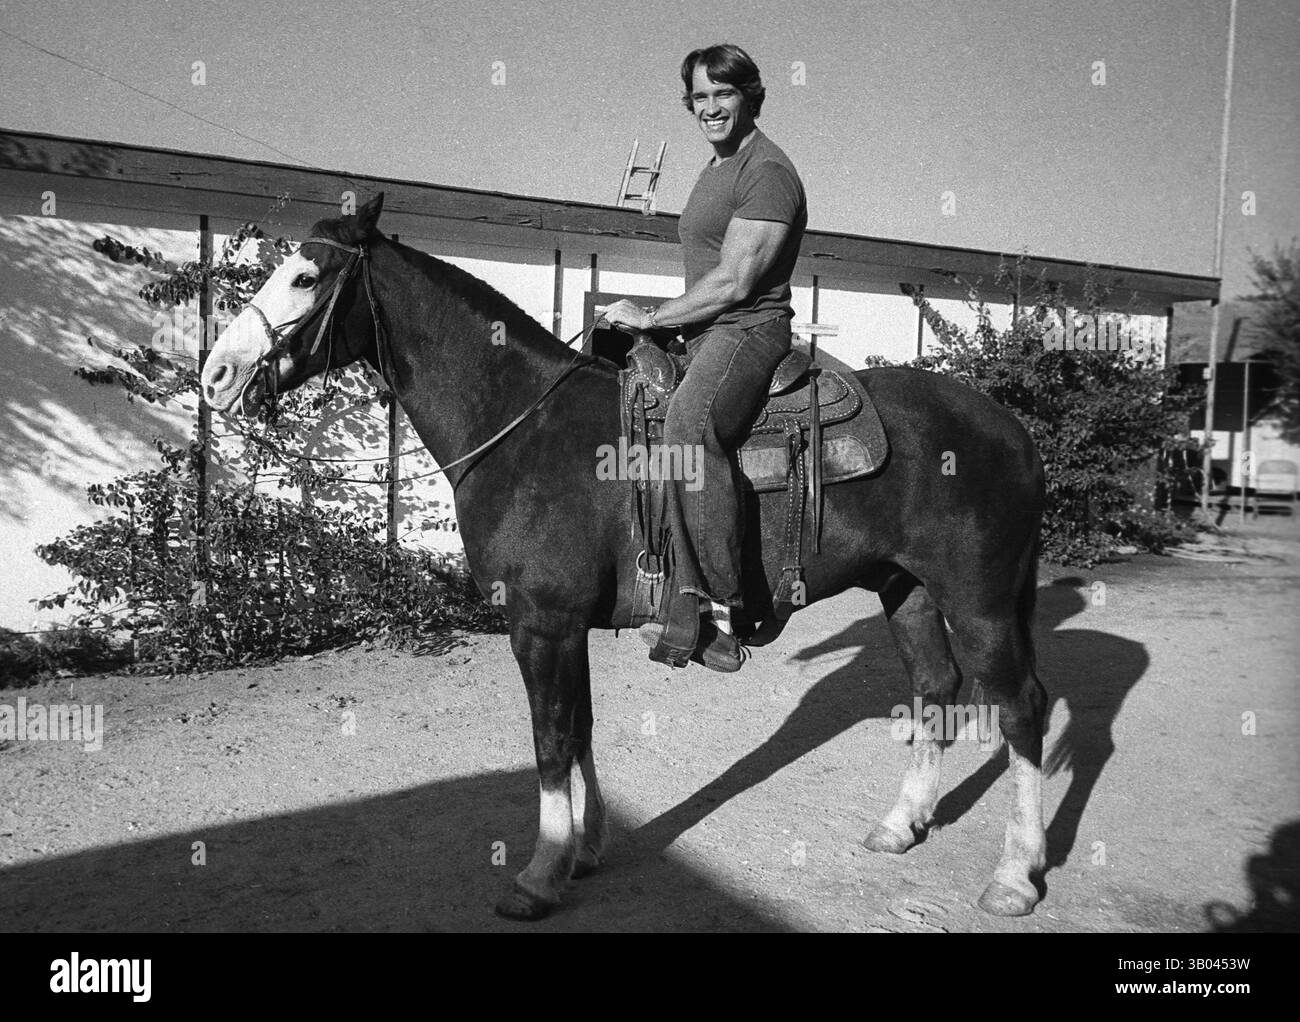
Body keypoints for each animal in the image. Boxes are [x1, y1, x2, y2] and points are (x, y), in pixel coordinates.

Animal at [201, 194, 1049, 922]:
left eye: (306, 276)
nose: (215, 374)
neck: (523, 426)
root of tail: (1009, 426)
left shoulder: (541, 623)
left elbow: (549, 741)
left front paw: (538, 875)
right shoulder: (564, 625)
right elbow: (579, 727)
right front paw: (584, 851)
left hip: (978, 602)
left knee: (1019, 707)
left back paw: (1014, 876)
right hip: (906, 588)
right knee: (935, 688)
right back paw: (901, 825)